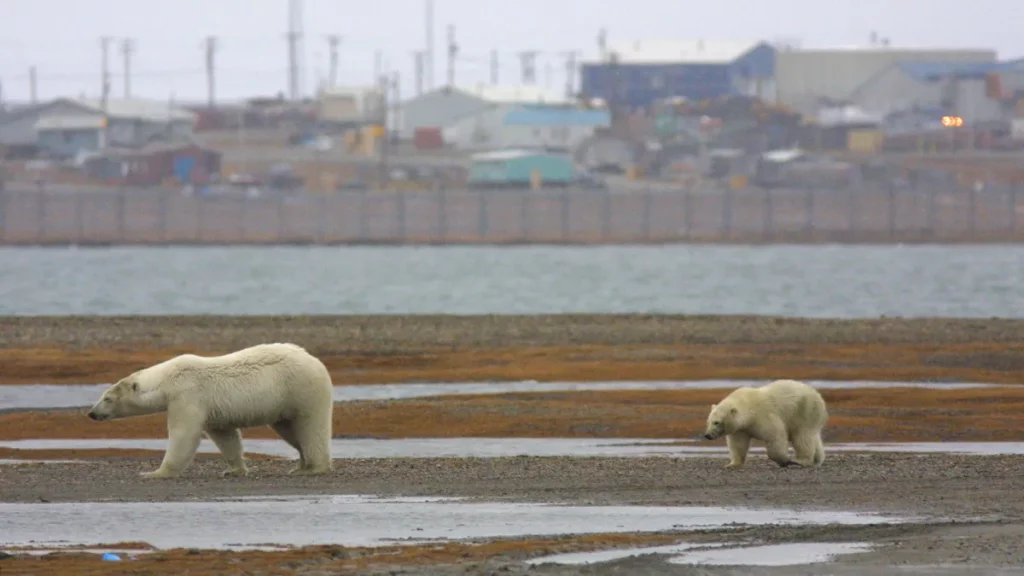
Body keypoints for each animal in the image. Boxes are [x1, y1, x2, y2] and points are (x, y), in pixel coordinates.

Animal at [87, 342, 334, 479]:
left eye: (107, 398)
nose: (92, 413)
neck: (166, 380)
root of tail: (313, 359)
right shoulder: (213, 408)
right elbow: (224, 435)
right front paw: (234, 470)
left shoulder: (187, 396)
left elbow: (183, 435)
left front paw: (155, 473)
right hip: (284, 402)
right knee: (289, 429)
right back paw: (300, 466)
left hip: (301, 390)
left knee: (310, 427)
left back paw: (313, 468)